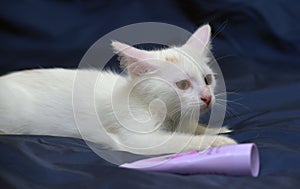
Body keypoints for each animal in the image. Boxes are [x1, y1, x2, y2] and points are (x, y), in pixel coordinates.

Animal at [0, 24, 236, 155]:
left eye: (207, 80)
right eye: (183, 85)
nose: (207, 98)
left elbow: (188, 128)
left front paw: (211, 129)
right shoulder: (135, 137)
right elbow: (178, 141)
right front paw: (219, 142)